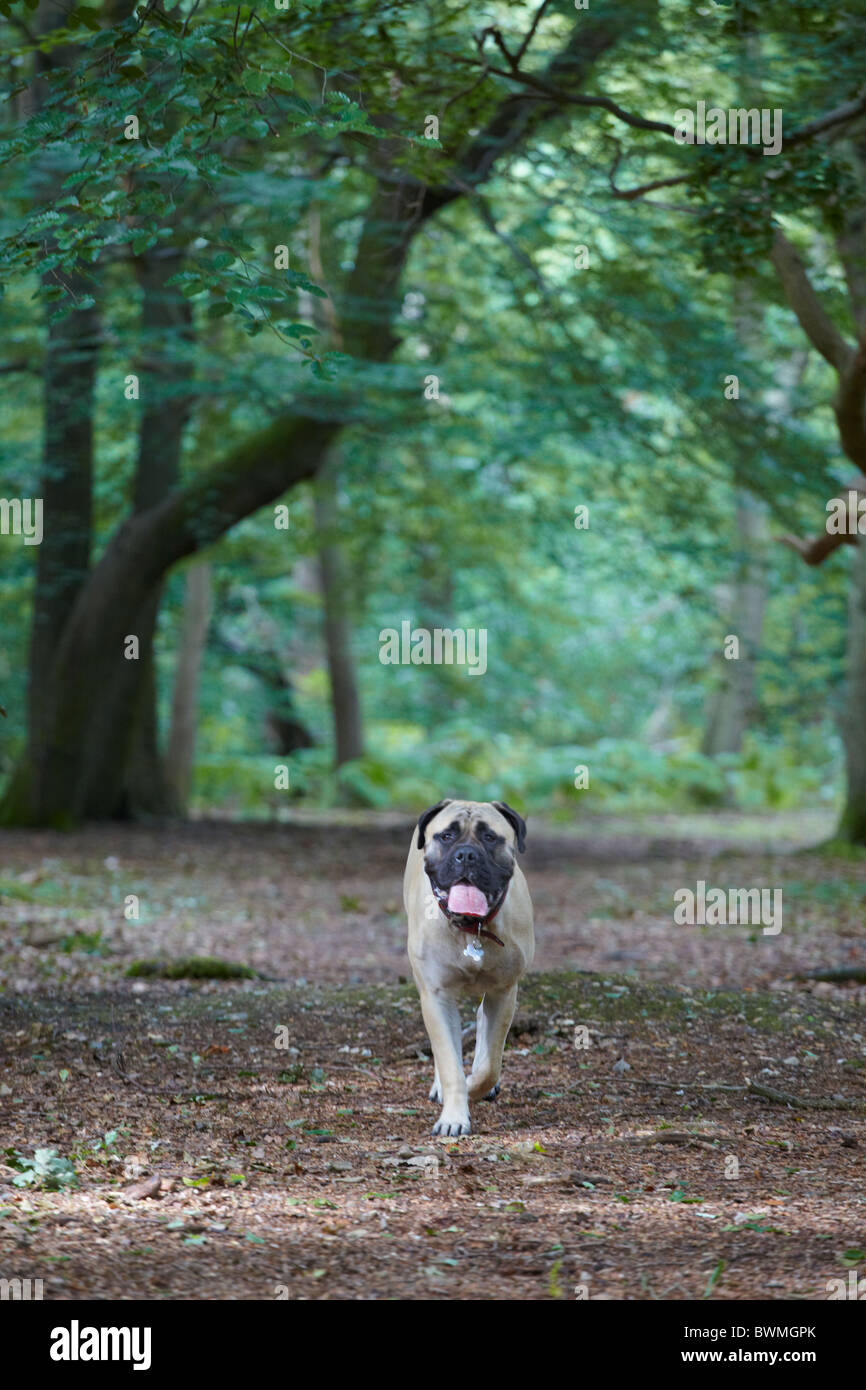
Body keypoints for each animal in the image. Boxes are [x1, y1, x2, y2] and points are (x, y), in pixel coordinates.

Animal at [400, 800, 530, 1134]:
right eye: (446, 836)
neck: (471, 928)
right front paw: (453, 1116)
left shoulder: (503, 992)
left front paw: (474, 1086)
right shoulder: (436, 996)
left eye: (489, 837)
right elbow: (449, 1062)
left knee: (482, 1024)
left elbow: (488, 1066)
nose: (467, 854)